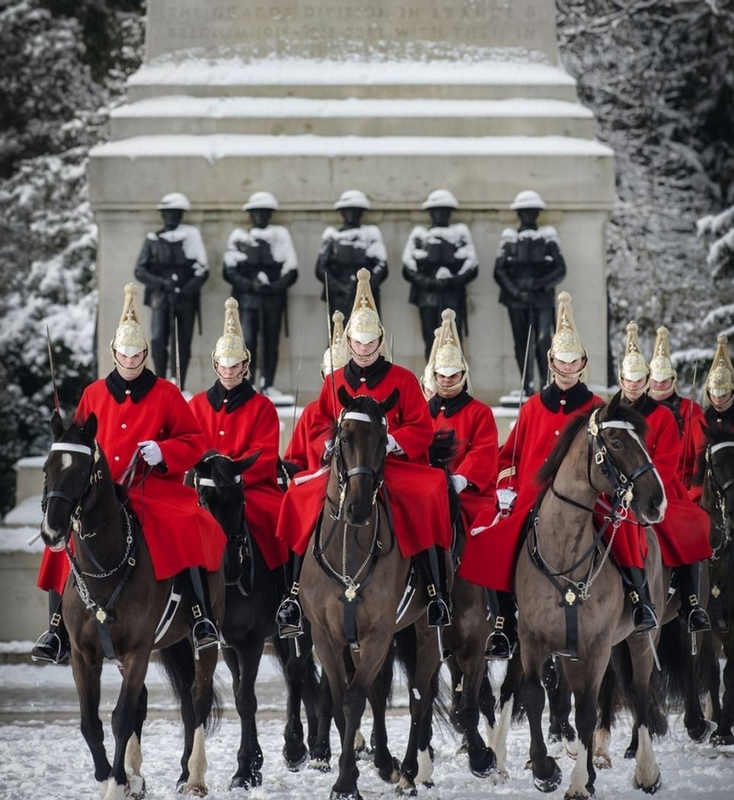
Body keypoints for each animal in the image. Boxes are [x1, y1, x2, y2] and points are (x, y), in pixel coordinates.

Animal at [39, 412, 224, 800]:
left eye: (81, 471)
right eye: (47, 468)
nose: (52, 532)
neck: (105, 567)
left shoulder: (138, 649)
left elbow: (121, 717)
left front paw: (114, 782)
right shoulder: (84, 654)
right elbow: (91, 722)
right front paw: (112, 776)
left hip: (204, 638)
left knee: (197, 697)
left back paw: (194, 776)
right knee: (151, 700)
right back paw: (138, 776)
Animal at [300, 384, 442, 796]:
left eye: (382, 439)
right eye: (344, 437)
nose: (359, 509)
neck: (348, 547)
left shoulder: (378, 633)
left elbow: (353, 699)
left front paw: (346, 781)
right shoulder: (328, 636)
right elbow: (341, 699)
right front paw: (362, 768)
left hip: (425, 628)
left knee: (419, 696)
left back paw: (409, 771)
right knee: (383, 694)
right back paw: (388, 763)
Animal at [516, 396, 668, 796]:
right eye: (615, 442)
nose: (656, 502)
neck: (564, 552)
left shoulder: (597, 646)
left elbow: (587, 709)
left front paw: (578, 784)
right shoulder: (532, 639)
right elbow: (534, 695)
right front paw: (545, 771)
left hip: (643, 637)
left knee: (640, 692)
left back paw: (646, 770)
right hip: (571, 653)